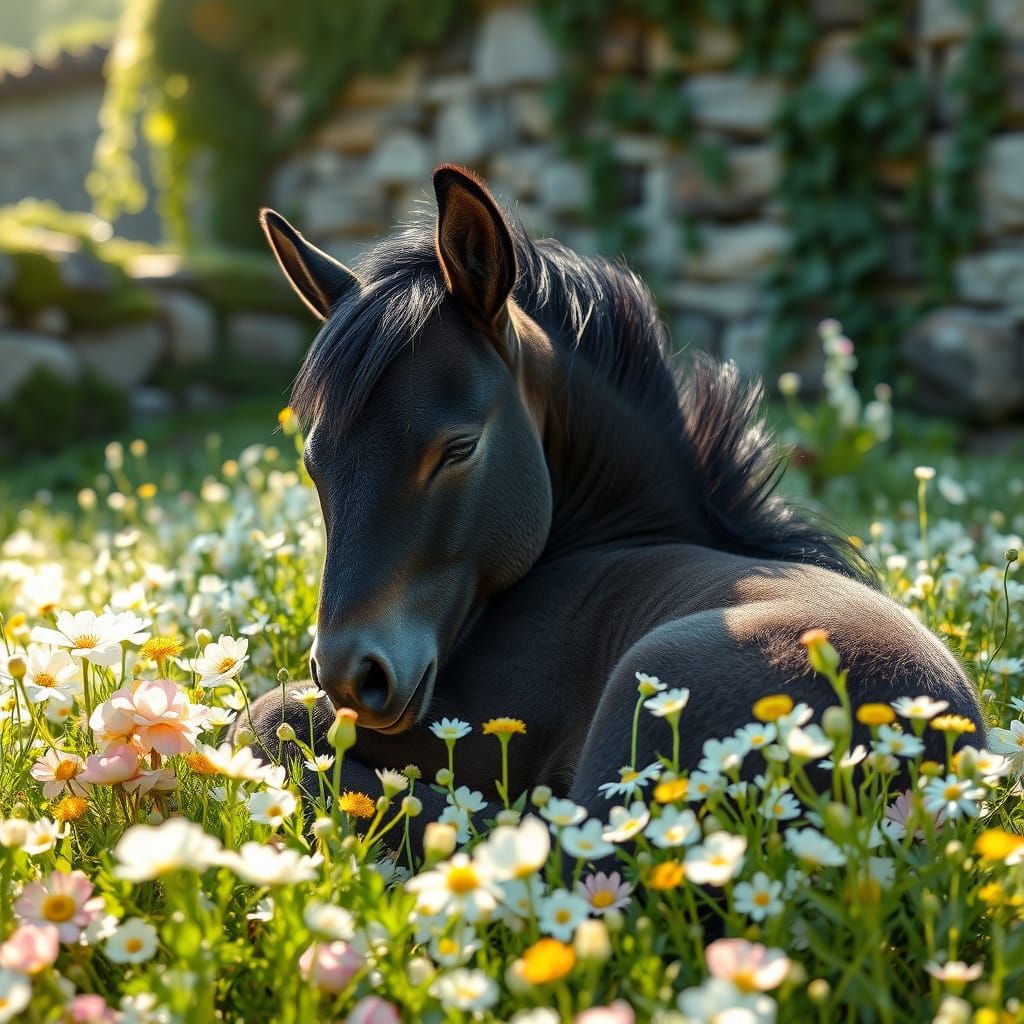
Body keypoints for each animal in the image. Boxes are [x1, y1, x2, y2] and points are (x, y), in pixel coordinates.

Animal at [245, 164, 983, 846]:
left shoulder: (480, 726)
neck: (612, 538)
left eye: (459, 448)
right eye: (314, 461)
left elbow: (265, 715)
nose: (348, 677)